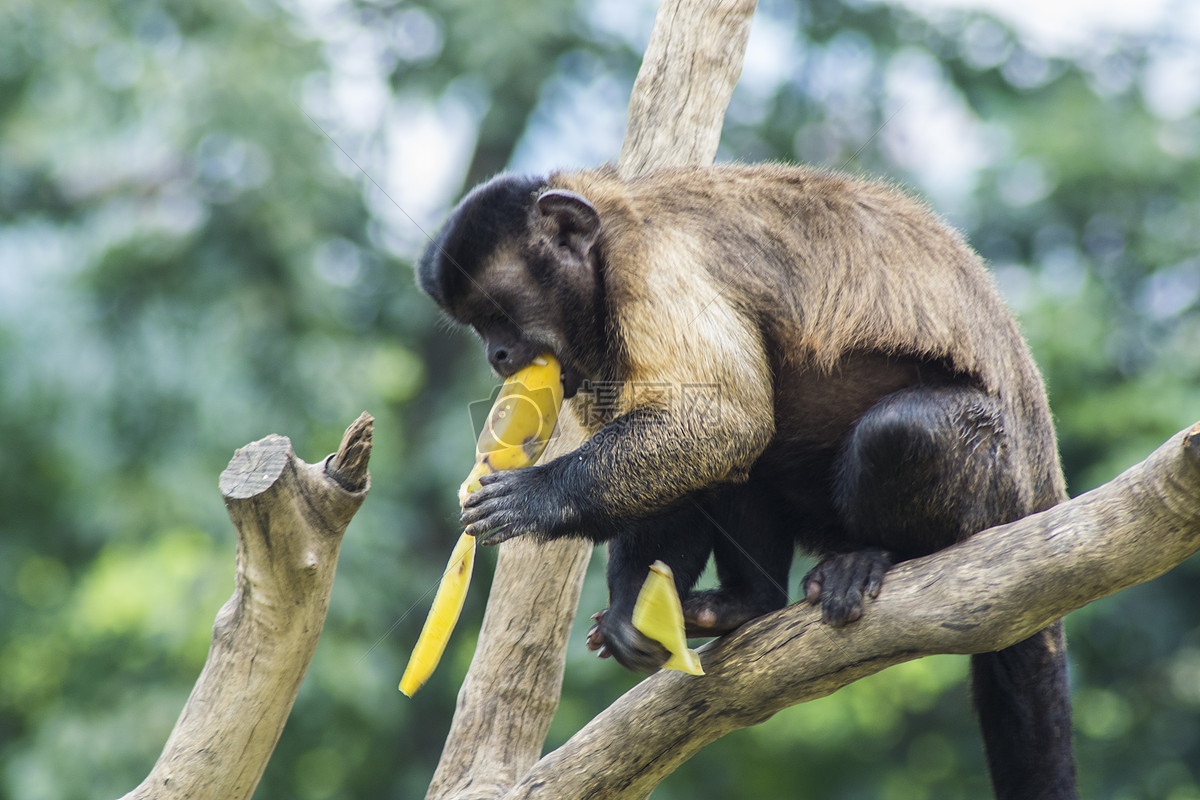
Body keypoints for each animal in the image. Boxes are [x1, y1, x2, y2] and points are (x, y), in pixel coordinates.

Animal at [415, 164, 1080, 800]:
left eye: (497, 314)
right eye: (479, 327)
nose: (498, 356)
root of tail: (1043, 486)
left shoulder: (652, 268)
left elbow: (719, 420)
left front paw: (536, 498)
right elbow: (693, 458)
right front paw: (632, 607)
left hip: (994, 483)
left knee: (896, 430)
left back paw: (877, 556)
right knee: (749, 466)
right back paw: (747, 604)